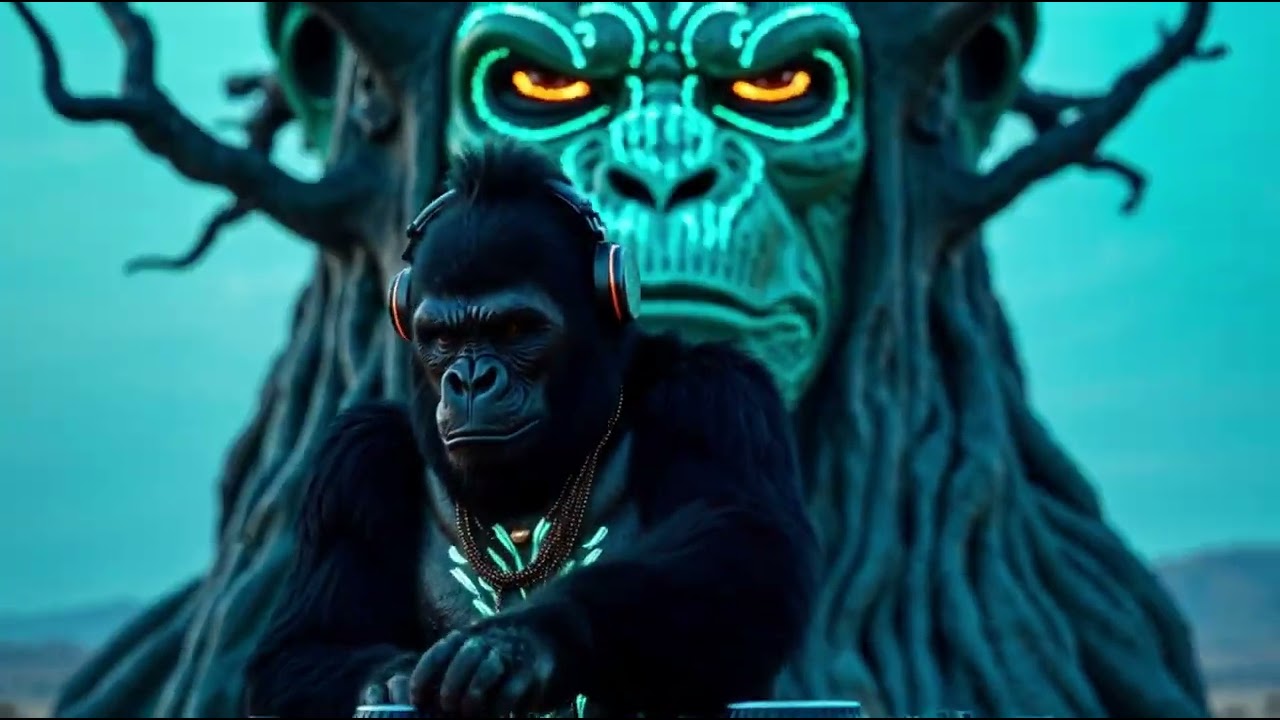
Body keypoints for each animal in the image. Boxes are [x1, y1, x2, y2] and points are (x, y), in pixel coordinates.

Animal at [243, 140, 819, 718]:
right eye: (443, 338)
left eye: (515, 329)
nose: (471, 380)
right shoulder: (354, 456)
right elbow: (303, 649)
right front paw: (389, 681)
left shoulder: (718, 395)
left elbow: (742, 547)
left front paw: (525, 640)